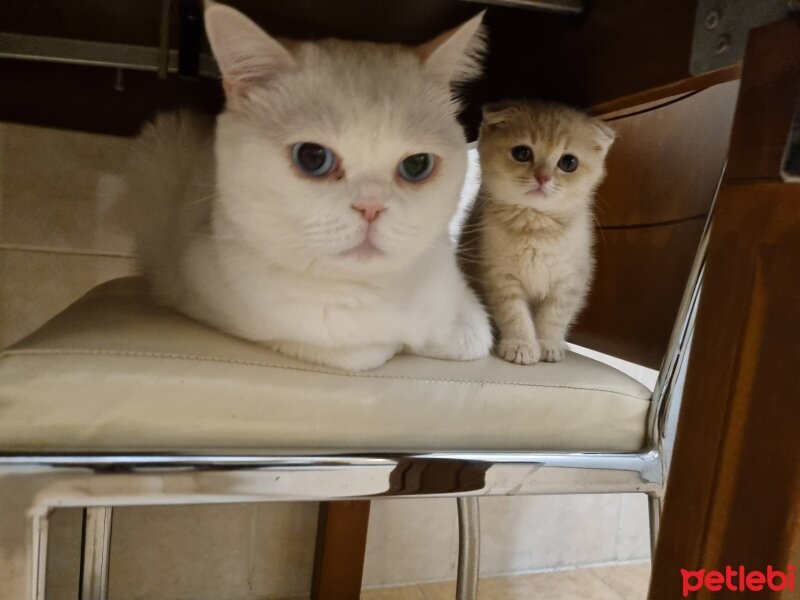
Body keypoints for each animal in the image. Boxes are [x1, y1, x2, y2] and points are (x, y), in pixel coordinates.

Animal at [126, 3, 494, 370]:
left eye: (417, 165)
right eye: (312, 157)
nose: (371, 206)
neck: (367, 290)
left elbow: (474, 338)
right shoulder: (198, 288)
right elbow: (364, 352)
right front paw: (395, 344)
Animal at [460, 100, 616, 364]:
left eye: (568, 162)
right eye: (522, 153)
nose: (543, 177)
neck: (536, 229)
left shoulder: (570, 279)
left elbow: (554, 316)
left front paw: (548, 344)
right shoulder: (499, 275)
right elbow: (513, 313)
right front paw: (520, 344)